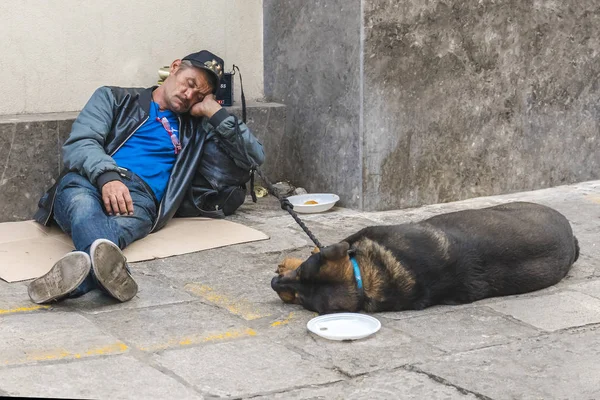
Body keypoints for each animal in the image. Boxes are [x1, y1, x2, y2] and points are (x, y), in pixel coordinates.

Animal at [270, 202, 576, 314]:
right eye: (300, 285)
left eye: (299, 298)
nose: (274, 283)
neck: (366, 279)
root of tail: (571, 240)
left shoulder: (365, 234)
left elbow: (337, 241)